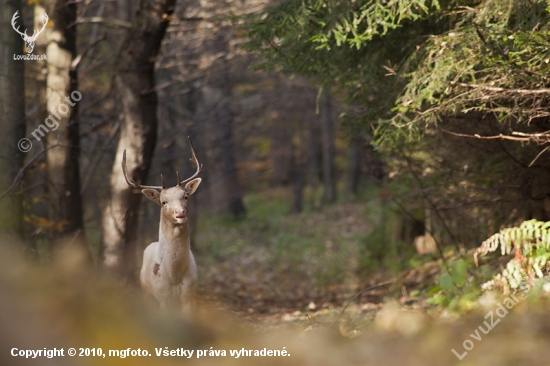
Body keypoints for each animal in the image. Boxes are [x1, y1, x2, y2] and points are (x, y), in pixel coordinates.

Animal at [122, 137, 204, 314]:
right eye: (163, 202)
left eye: (185, 196)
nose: (180, 213)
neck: (174, 276)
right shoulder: (162, 297)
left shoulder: (190, 294)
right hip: (146, 291)